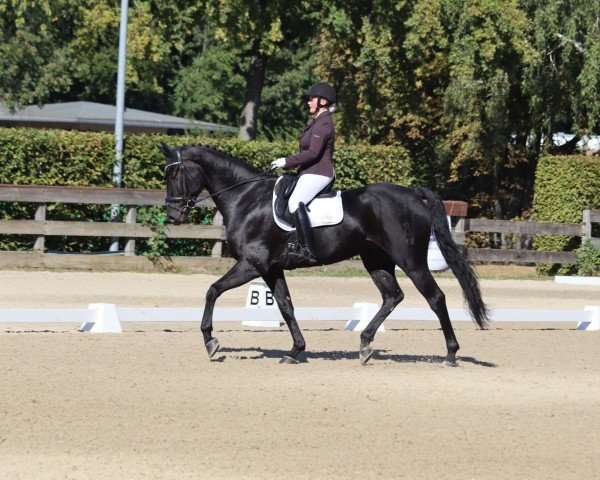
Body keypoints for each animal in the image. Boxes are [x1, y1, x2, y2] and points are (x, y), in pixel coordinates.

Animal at [162, 144, 490, 366]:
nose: (173, 215)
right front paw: (296, 350)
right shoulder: (271, 269)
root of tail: (412, 194)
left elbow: (212, 290)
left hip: (411, 260)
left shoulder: (252, 264)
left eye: (175, 173)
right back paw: (365, 345)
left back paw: (450, 353)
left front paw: (211, 341)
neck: (246, 199)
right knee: (392, 296)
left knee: (435, 298)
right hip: (376, 260)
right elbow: (286, 306)